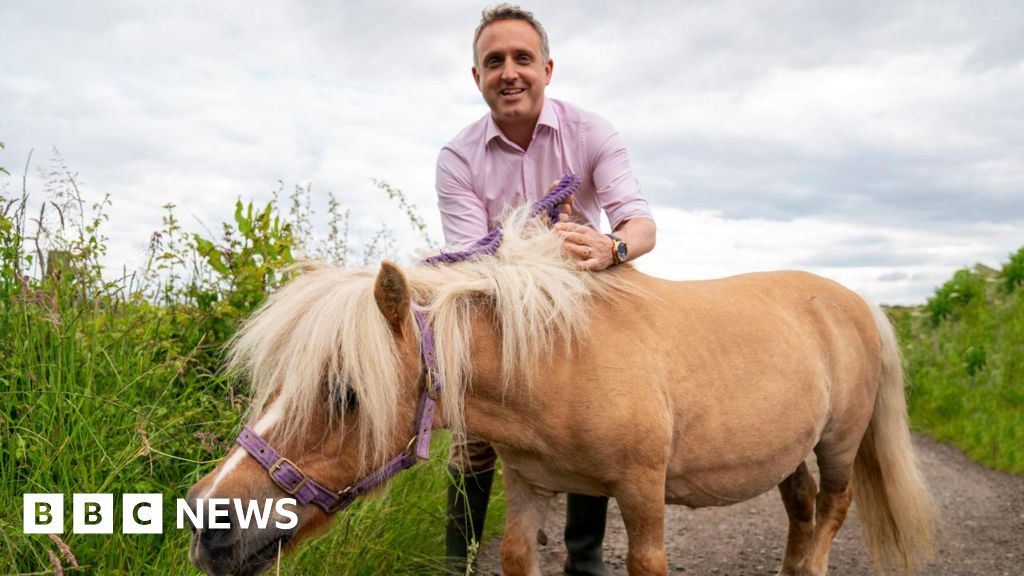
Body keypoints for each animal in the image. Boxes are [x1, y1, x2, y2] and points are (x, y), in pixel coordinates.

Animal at [186, 203, 937, 569]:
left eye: (345, 393)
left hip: (839, 445)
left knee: (831, 512)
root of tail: (860, 303)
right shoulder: (528, 487)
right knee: (801, 509)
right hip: (786, 451)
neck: (561, 357)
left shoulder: (643, 496)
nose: (207, 522)